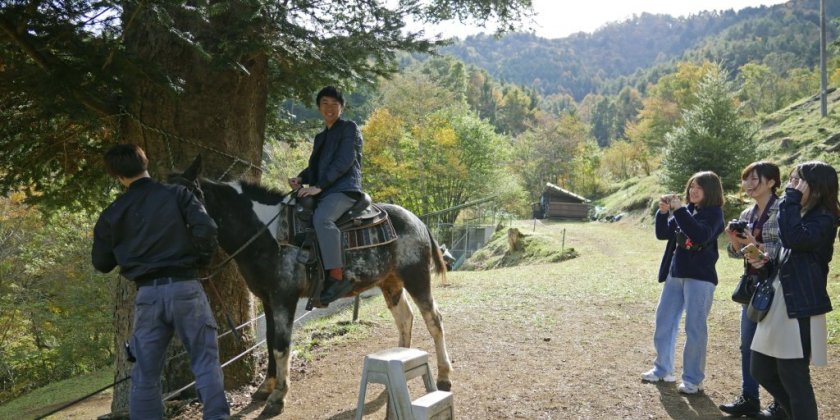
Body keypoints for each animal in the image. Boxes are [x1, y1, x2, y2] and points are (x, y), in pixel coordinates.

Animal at [167, 157, 450, 416]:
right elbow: (270, 342)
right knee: (405, 318)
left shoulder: (284, 298)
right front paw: (266, 387)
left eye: (185, 201)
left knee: (434, 320)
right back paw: (401, 359)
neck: (268, 234)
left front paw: (278, 397)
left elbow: (281, 345)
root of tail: (418, 221)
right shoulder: (268, 300)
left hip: (416, 278)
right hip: (390, 283)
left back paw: (444, 377)